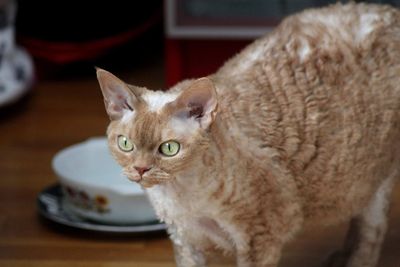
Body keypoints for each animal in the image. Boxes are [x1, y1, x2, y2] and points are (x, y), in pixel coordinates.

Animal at [97, 2, 400, 267]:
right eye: (125, 144)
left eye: (169, 148)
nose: (140, 169)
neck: (179, 194)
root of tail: (388, 10)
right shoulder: (184, 240)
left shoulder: (261, 236)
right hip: (356, 180)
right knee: (359, 214)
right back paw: (339, 257)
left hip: (378, 172)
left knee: (372, 229)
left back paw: (354, 260)